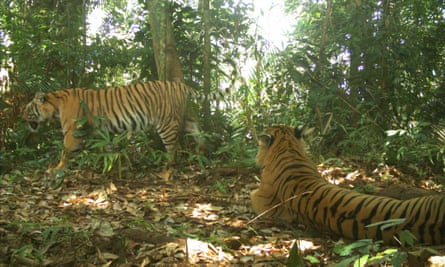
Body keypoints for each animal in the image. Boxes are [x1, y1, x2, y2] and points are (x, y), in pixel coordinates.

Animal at [23, 80, 204, 173]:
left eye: (27, 108)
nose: (21, 116)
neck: (56, 106)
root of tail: (181, 84)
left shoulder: (72, 132)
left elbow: (65, 152)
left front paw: (56, 169)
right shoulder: (103, 132)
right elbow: (110, 150)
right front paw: (114, 167)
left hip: (167, 123)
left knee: (174, 148)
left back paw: (167, 170)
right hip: (185, 116)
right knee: (197, 132)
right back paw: (203, 153)